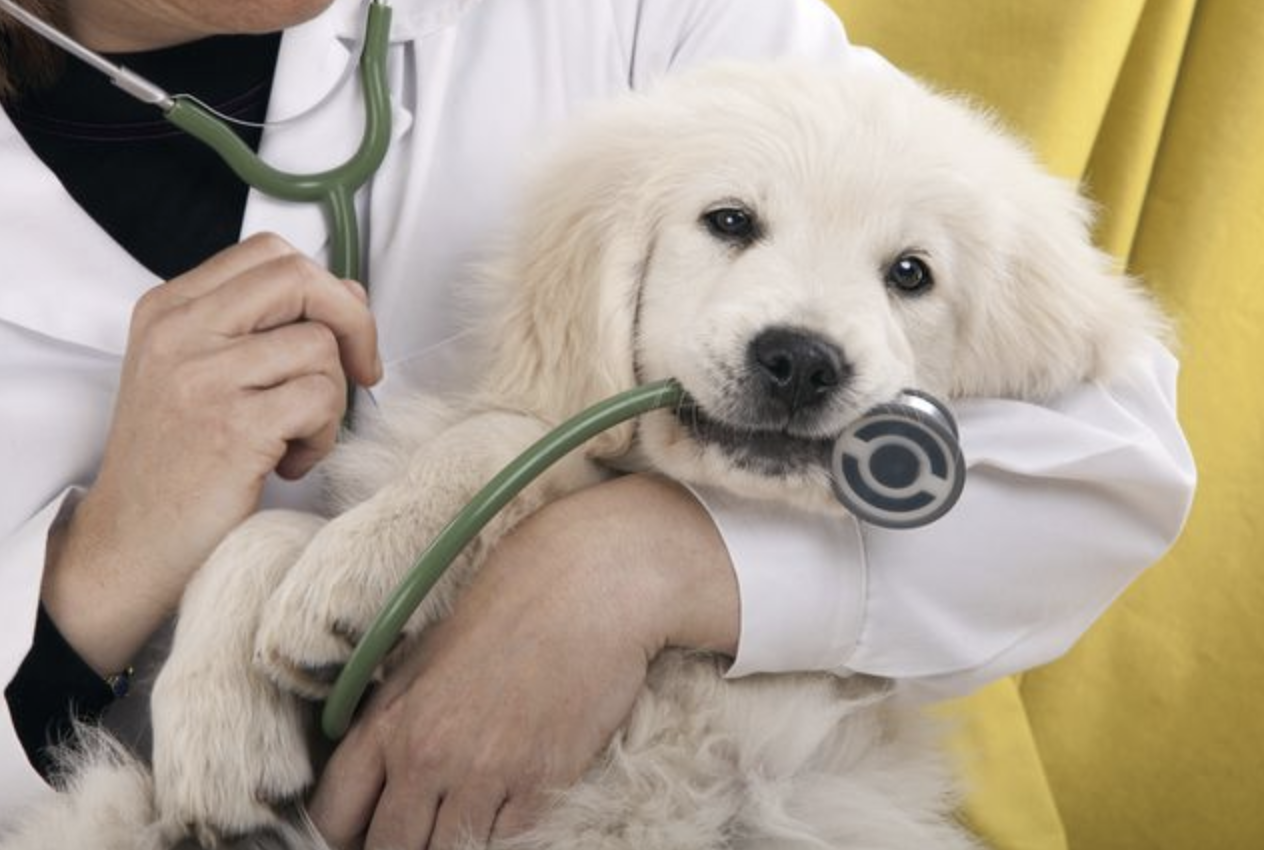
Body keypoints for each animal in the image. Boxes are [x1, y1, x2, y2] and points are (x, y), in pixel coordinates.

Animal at [0, 59, 1162, 849]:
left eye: (911, 274)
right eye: (728, 221)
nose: (799, 360)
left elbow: (503, 436)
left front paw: (357, 573)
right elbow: (260, 532)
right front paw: (221, 720)